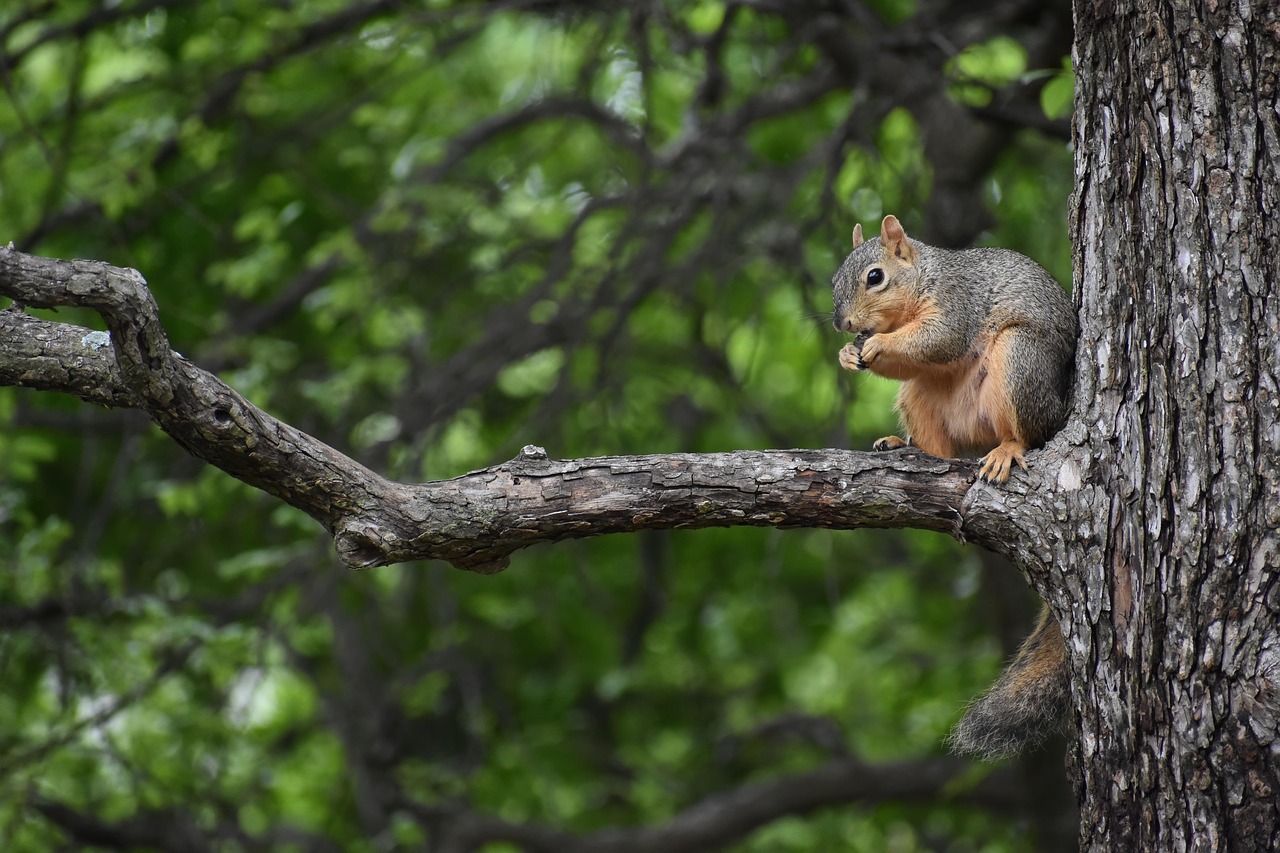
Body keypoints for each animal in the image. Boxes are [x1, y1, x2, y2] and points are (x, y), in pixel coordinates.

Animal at [831, 214, 1077, 760]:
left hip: (1019, 361)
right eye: (835, 276)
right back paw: (907, 448)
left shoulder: (956, 305)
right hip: (919, 395)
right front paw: (846, 355)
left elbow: (938, 340)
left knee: (1024, 431)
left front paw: (876, 346)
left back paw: (1006, 450)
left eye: (875, 277)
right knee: (939, 447)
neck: (923, 280)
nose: (844, 325)